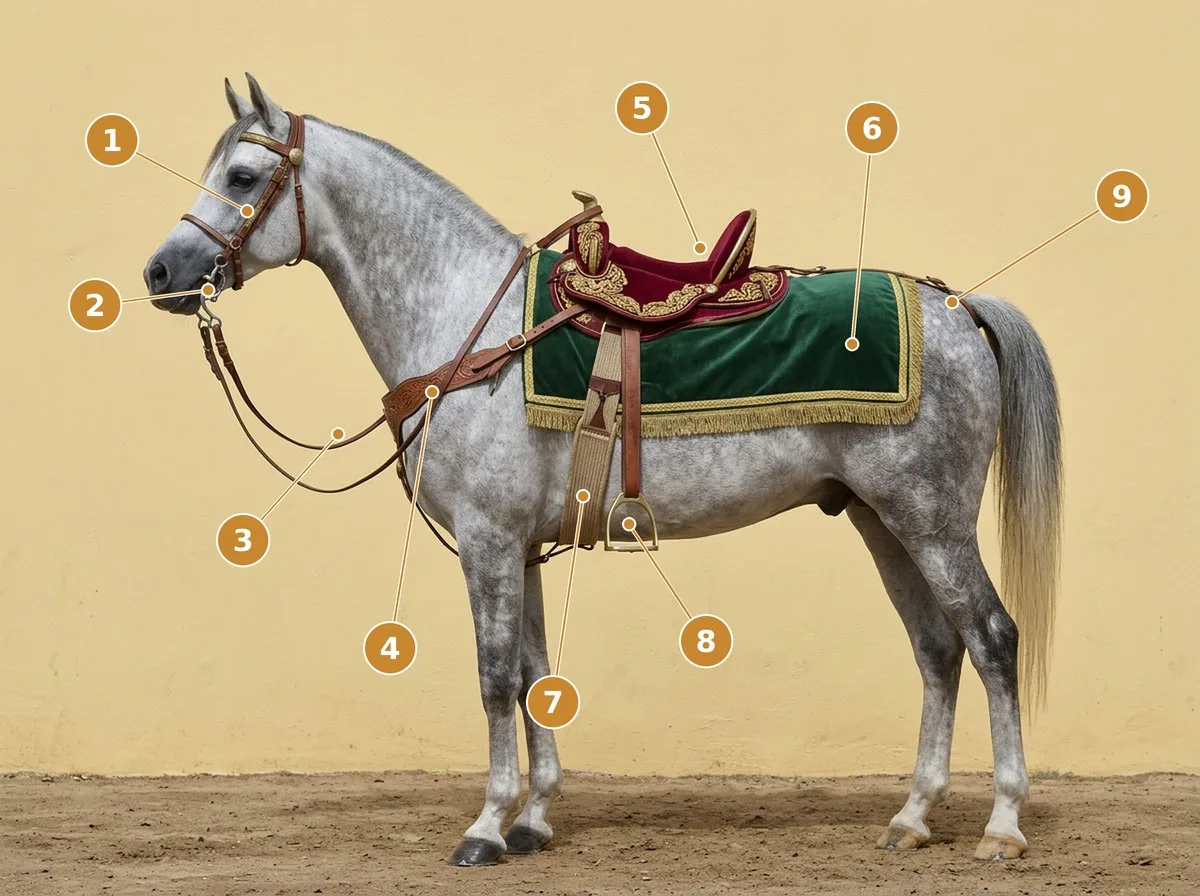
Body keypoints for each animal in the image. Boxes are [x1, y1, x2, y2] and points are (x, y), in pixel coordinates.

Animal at [142, 75, 1061, 866]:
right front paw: (534, 818)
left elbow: (493, 677)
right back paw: (913, 816)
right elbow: (531, 672)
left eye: (243, 173)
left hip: (931, 518)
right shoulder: (519, 547)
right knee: (936, 648)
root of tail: (960, 306)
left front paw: (486, 826)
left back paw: (1002, 825)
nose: (160, 273)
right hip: (882, 518)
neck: (471, 324)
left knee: (991, 638)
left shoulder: (486, 540)